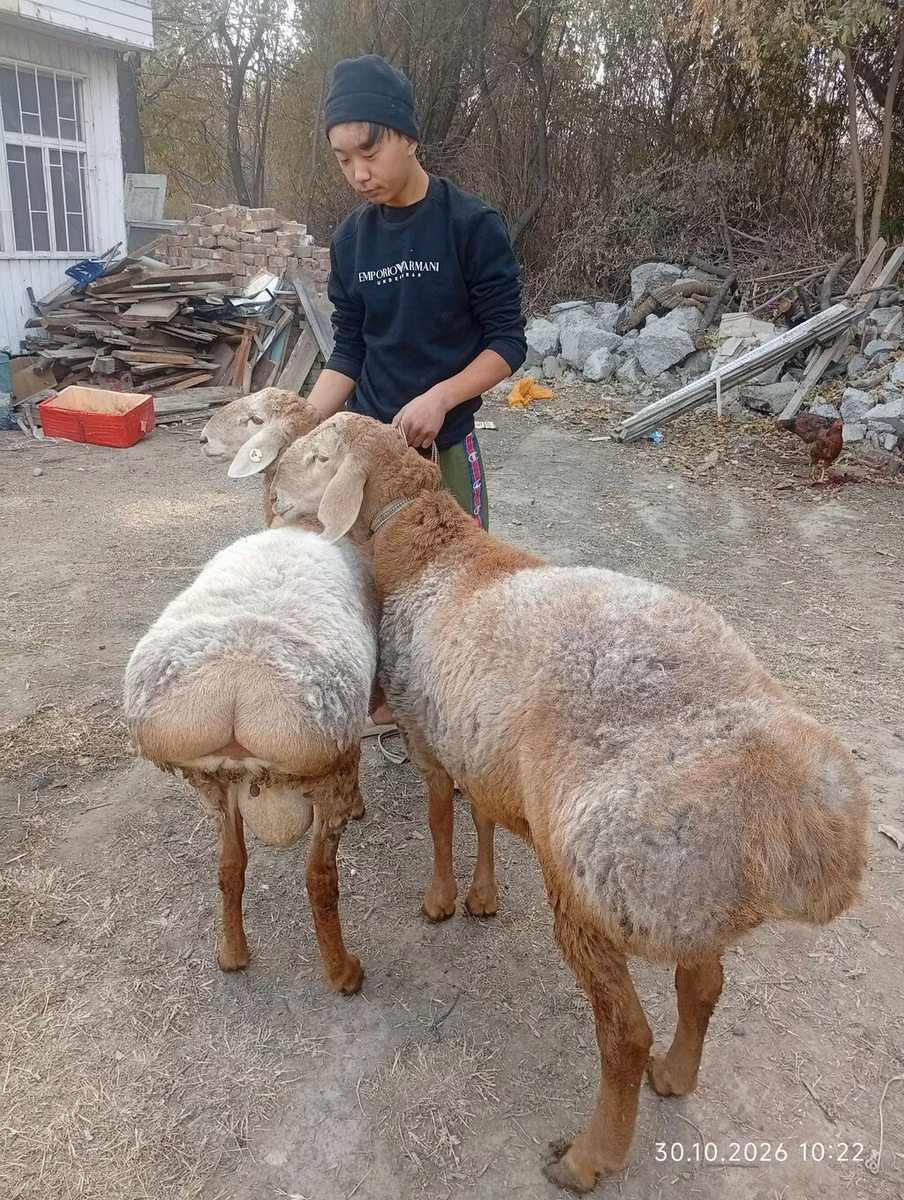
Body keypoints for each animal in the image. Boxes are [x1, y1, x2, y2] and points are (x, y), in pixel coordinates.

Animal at [123, 524, 378, 994]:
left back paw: (232, 955)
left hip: (211, 784)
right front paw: (359, 805)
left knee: (229, 864)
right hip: (328, 772)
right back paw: (343, 974)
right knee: (319, 879)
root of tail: (237, 686)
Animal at [267, 411, 868, 1191]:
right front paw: (482, 895)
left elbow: (440, 814)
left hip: (594, 886)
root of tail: (784, 809)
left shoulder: (428, 732)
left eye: (316, 457)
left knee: (625, 1033)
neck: (430, 548)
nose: (271, 485)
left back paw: (589, 1157)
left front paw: (440, 899)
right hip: (690, 901)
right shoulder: (481, 741)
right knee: (704, 987)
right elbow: (482, 813)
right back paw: (676, 1075)